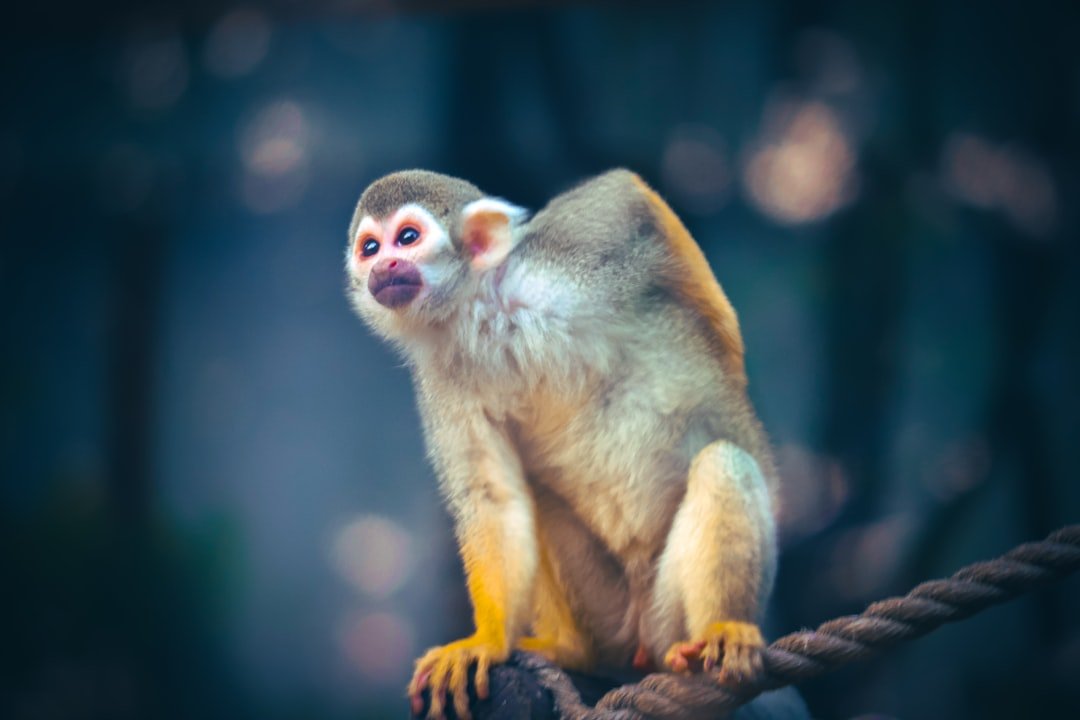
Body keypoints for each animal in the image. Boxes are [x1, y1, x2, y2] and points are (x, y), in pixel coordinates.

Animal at [345, 169, 778, 720]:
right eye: (369, 247)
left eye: (406, 238)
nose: (383, 266)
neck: (481, 311)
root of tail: (644, 646)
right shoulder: (443, 374)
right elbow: (494, 496)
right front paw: (486, 641)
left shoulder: (568, 259)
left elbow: (627, 195)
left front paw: (727, 350)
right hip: (611, 613)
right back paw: (572, 650)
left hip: (667, 620)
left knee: (725, 463)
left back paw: (723, 630)